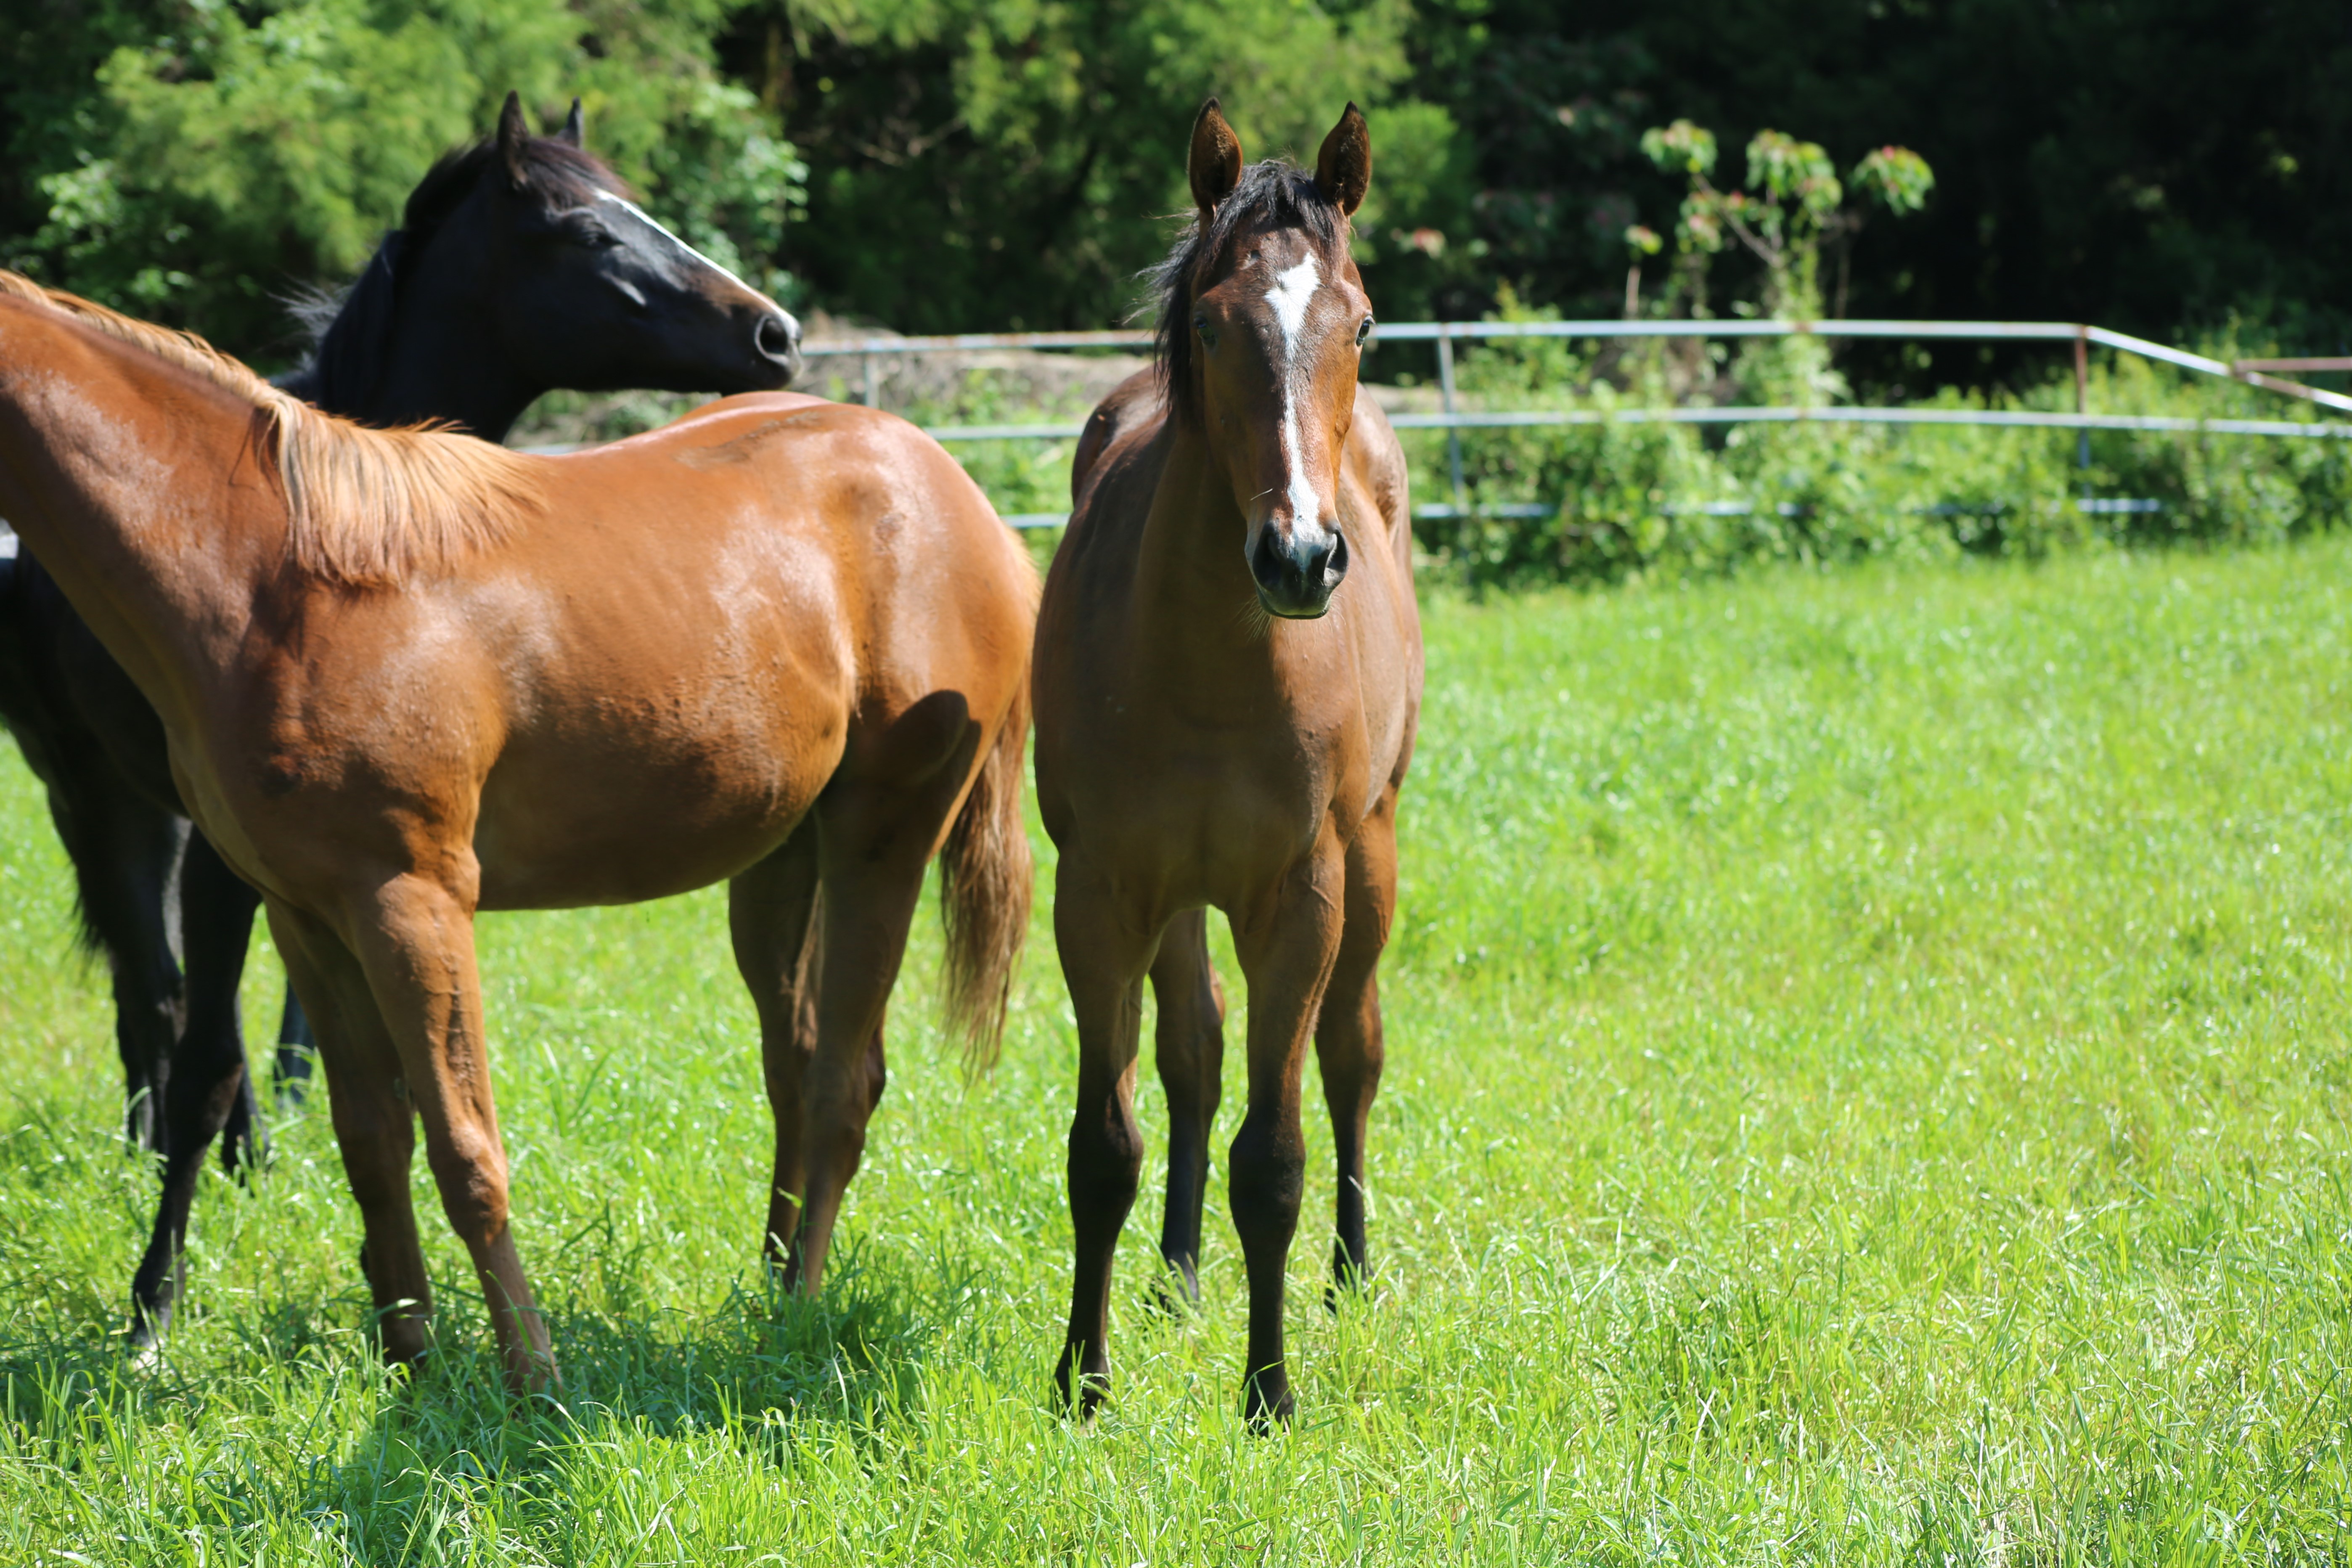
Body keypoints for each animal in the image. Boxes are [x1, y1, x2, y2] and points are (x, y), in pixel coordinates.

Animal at [0, 95, 804, 1354]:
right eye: (589, 231)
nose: (773, 335)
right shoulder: (221, 849)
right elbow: (204, 1057)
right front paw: (155, 1298)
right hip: (97, 800)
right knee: (155, 1000)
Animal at [0, 273, 1035, 1382]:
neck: (274, 577)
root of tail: (954, 492)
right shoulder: (306, 916)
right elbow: (372, 1144)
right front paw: (411, 1369)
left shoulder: (411, 901)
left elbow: (465, 1148)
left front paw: (531, 1380)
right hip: (775, 861)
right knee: (793, 1066)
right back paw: (763, 1289)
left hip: (882, 839)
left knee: (846, 1079)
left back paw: (794, 1316)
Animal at [1030, 95, 1411, 1420]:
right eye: (1208, 320)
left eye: (1360, 321)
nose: (1298, 556)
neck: (1209, 662)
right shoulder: (1101, 892)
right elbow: (1107, 1145)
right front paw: (1084, 1379)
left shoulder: (1300, 896)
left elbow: (1275, 1155)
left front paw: (1269, 1393)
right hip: (1177, 901)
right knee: (1191, 1057)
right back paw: (1176, 1275)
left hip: (1374, 859)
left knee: (1352, 1055)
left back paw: (1350, 1271)